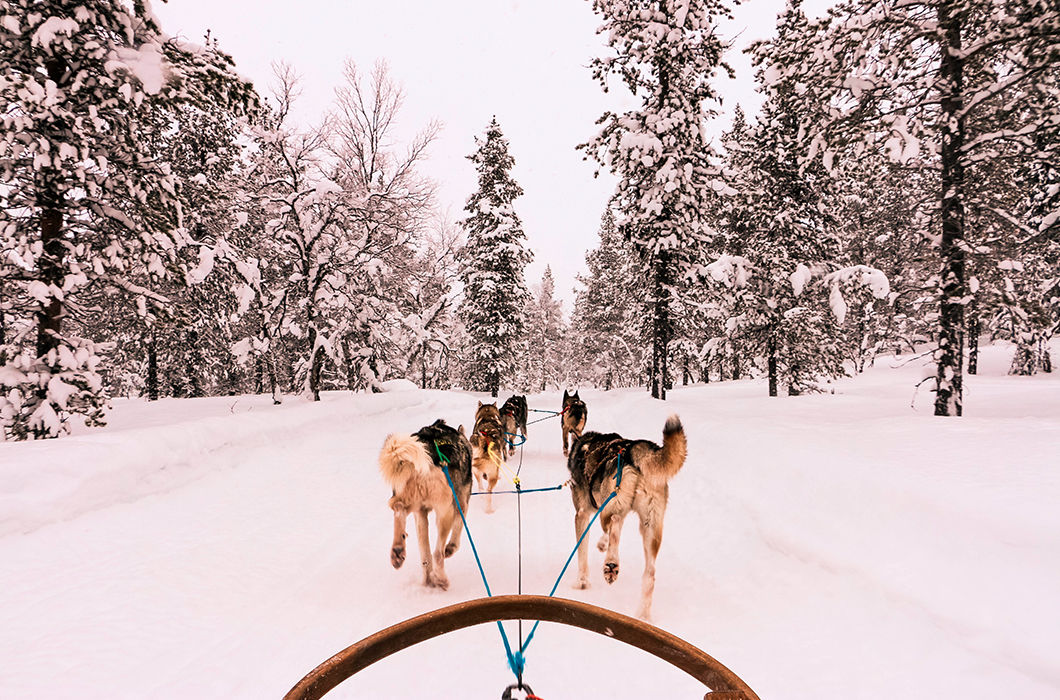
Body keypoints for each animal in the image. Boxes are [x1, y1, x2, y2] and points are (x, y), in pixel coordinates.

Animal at [377, 422, 468, 589]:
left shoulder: (420, 513)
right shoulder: (461, 504)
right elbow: (457, 533)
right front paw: (451, 548)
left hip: (411, 504)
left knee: (399, 510)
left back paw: (398, 552)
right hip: (445, 511)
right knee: (437, 554)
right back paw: (442, 579)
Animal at [568, 415, 691, 619]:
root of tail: (633, 450)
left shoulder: (582, 514)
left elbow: (582, 553)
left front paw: (581, 582)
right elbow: (605, 535)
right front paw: (602, 544)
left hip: (611, 505)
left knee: (614, 522)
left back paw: (611, 565)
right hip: (650, 526)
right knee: (650, 574)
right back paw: (643, 615)